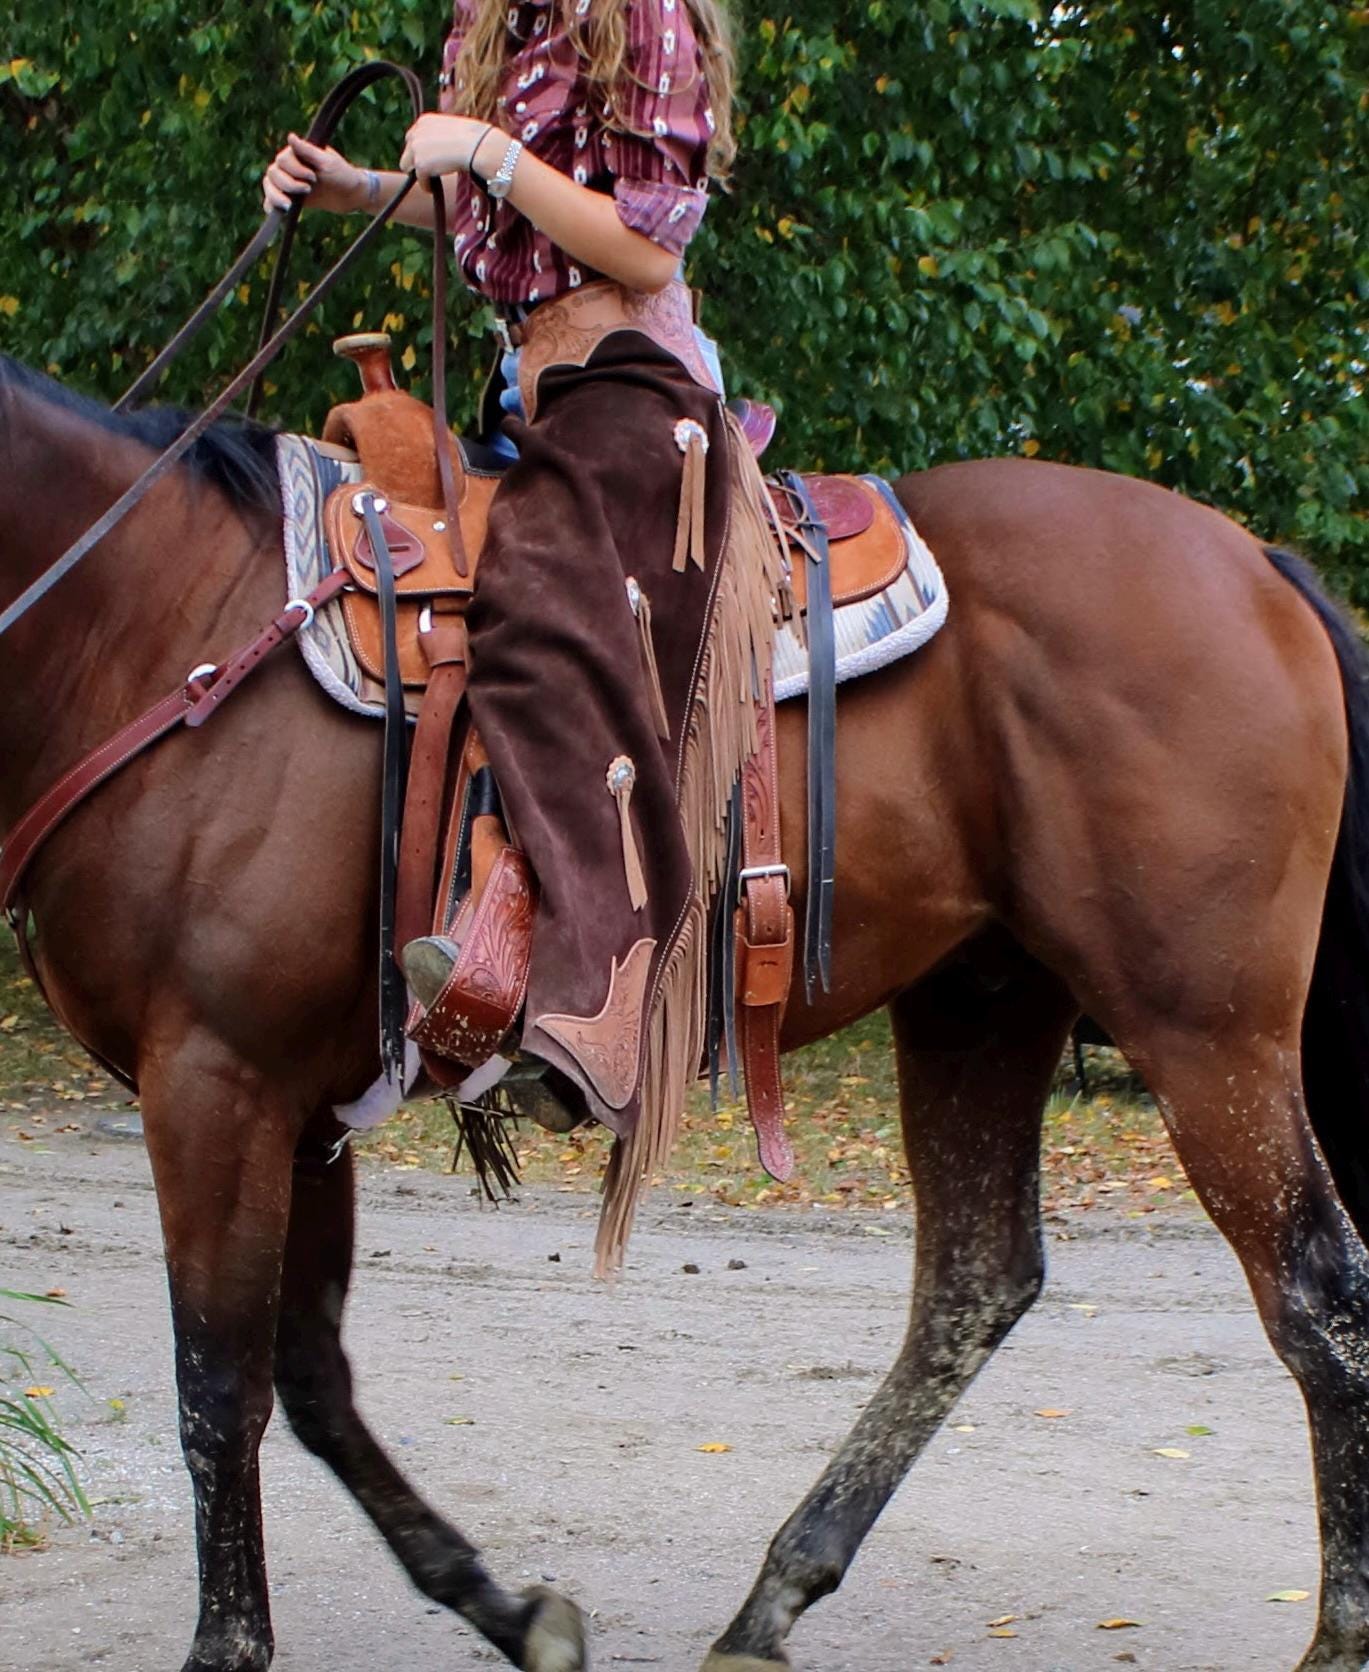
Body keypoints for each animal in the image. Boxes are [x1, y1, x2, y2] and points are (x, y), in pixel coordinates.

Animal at [4, 348, 1369, 1672]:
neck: (157, 619)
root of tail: (1253, 561)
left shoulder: (213, 1079)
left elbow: (216, 1388)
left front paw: (228, 1644)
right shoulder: (299, 1107)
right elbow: (309, 1381)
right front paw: (508, 1608)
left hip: (1204, 1029)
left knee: (1318, 1289)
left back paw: (1336, 1632)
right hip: (981, 1002)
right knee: (974, 1280)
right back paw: (773, 1598)